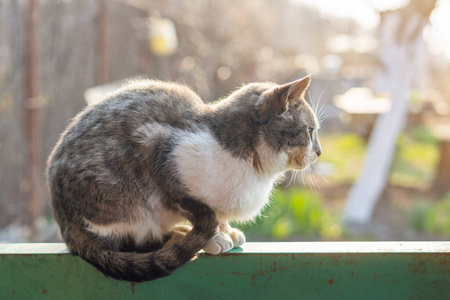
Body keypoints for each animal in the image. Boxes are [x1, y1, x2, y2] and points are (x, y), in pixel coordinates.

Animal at [46, 75, 320, 282]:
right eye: (310, 131)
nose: (319, 152)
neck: (254, 171)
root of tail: (66, 228)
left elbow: (219, 217)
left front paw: (227, 231)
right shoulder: (158, 153)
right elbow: (200, 214)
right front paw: (214, 238)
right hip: (127, 205)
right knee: (133, 242)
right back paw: (179, 235)